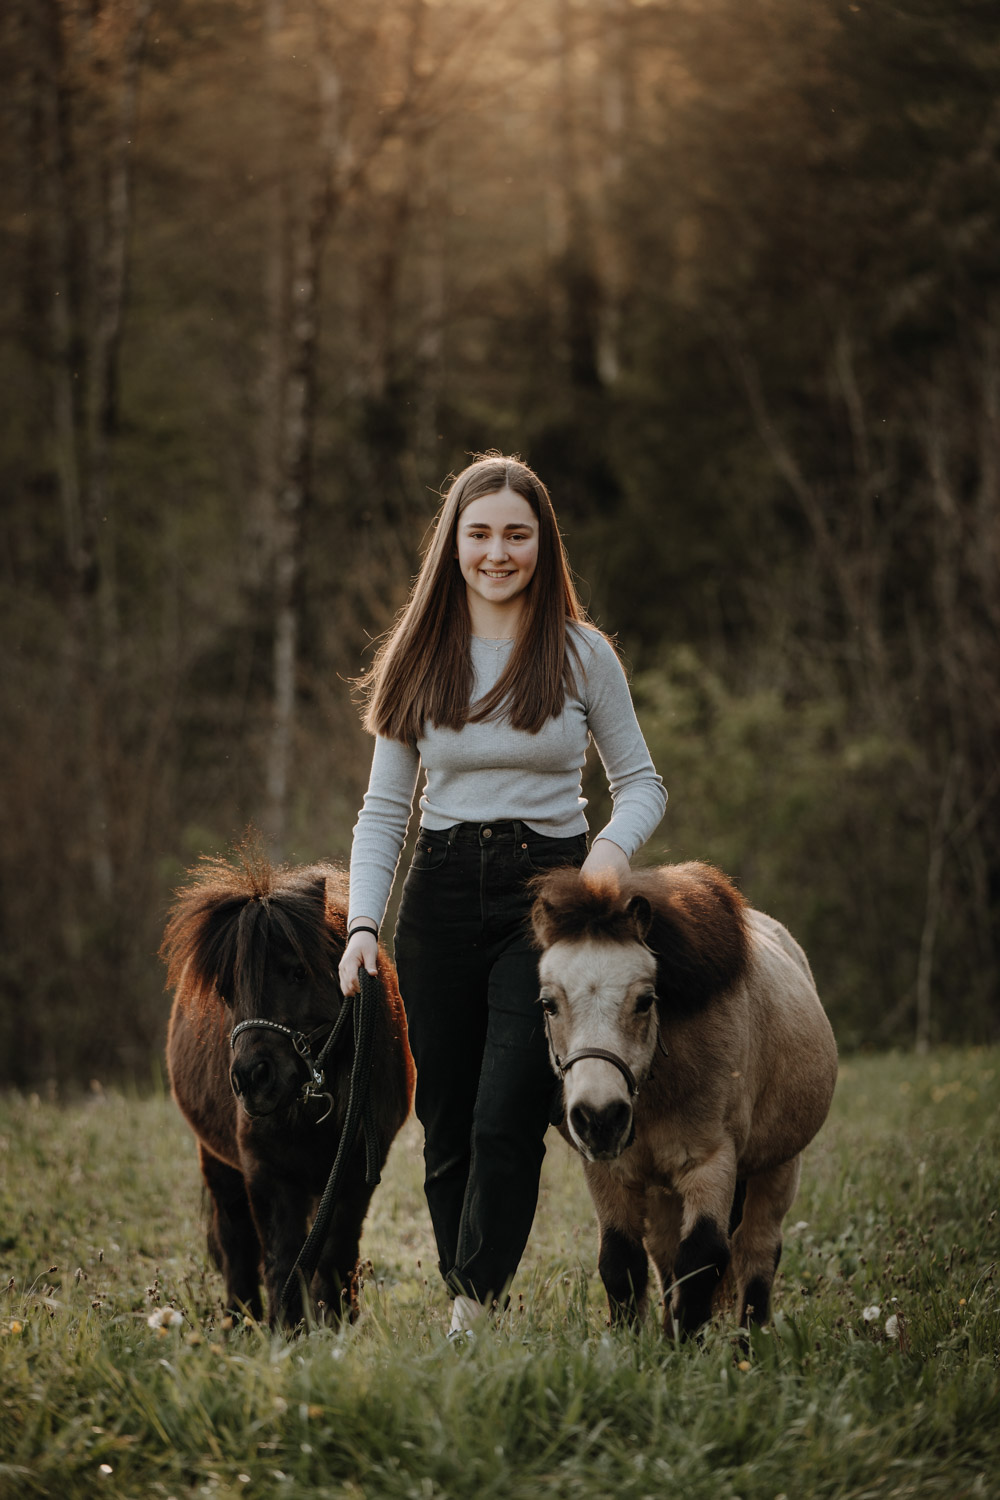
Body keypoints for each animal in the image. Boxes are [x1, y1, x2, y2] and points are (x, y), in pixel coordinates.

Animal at [161, 851, 414, 1328]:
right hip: (218, 1163)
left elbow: (334, 1253)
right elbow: (282, 1258)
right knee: (235, 1241)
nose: (251, 1079)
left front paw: (335, 1323)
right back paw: (239, 1321)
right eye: (226, 989)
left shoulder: (355, 1168)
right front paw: (286, 1329)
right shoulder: (266, 1170)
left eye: (298, 972)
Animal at [530, 862, 837, 1339]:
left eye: (645, 1000)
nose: (600, 1119)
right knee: (664, 1252)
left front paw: (687, 1348)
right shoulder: (608, 1173)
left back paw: (749, 1343)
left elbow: (702, 1259)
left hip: (779, 1167)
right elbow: (622, 1260)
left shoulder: (711, 1164)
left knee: (757, 1251)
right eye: (548, 1004)